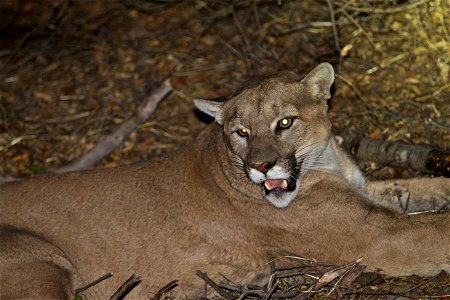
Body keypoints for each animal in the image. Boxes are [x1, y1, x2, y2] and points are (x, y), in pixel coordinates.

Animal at [0, 62, 450, 298]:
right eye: (242, 132)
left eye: (284, 122)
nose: (263, 166)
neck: (325, 161)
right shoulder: (378, 236)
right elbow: (438, 226)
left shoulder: (371, 196)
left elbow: (423, 190)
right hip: (41, 265)